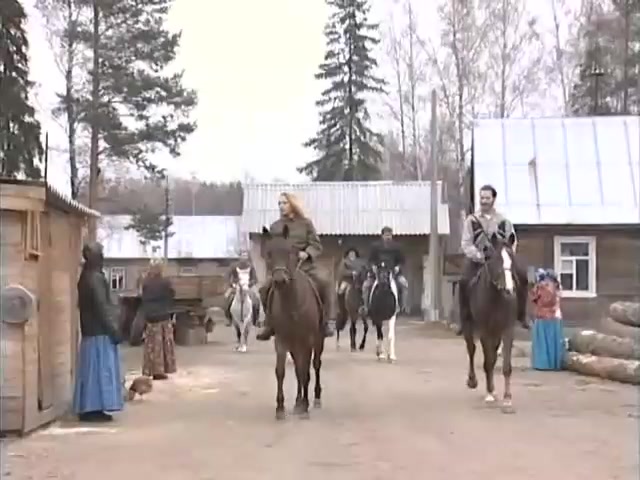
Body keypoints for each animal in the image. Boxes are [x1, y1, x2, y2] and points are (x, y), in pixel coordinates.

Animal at [261, 225, 325, 420]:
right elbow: (281, 371)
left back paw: (315, 399)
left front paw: (304, 406)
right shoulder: (282, 341)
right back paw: (297, 401)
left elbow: (305, 372)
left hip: (317, 341)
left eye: (289, 252)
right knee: (298, 369)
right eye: (269, 254)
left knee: (315, 366)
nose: (280, 280)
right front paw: (280, 408)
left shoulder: (307, 341)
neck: (292, 304)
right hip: (294, 345)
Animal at [462, 230, 519, 414]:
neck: (496, 298)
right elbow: (488, 360)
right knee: (472, 350)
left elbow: (505, 365)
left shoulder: (507, 330)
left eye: (511, 259)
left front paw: (507, 399)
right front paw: (489, 393)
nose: (509, 290)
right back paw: (473, 381)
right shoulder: (484, 331)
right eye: (496, 260)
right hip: (468, 325)